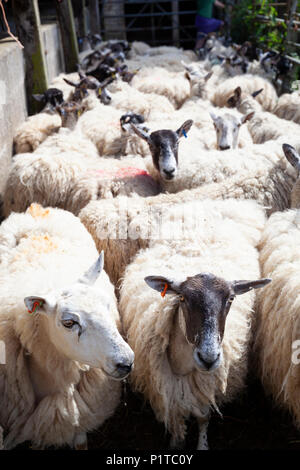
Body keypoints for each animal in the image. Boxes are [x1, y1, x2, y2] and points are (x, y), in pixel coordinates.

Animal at [118, 197, 270, 448]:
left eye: (231, 299)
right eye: (182, 298)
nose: (208, 358)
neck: (183, 367)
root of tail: (213, 202)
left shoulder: (205, 386)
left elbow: (203, 417)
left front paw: (202, 444)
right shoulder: (168, 391)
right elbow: (176, 420)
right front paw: (176, 444)